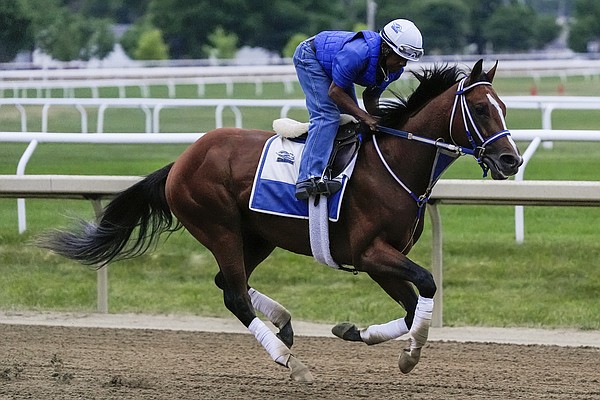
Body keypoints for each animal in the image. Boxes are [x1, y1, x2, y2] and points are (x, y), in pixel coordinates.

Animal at [39, 59, 524, 382]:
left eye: (504, 106)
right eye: (482, 109)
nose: (511, 160)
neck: (396, 163)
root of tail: (182, 160)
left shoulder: (379, 261)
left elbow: (409, 308)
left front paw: (355, 332)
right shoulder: (370, 253)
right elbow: (427, 284)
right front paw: (411, 356)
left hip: (256, 236)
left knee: (226, 283)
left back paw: (285, 325)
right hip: (218, 226)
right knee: (234, 295)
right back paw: (291, 361)